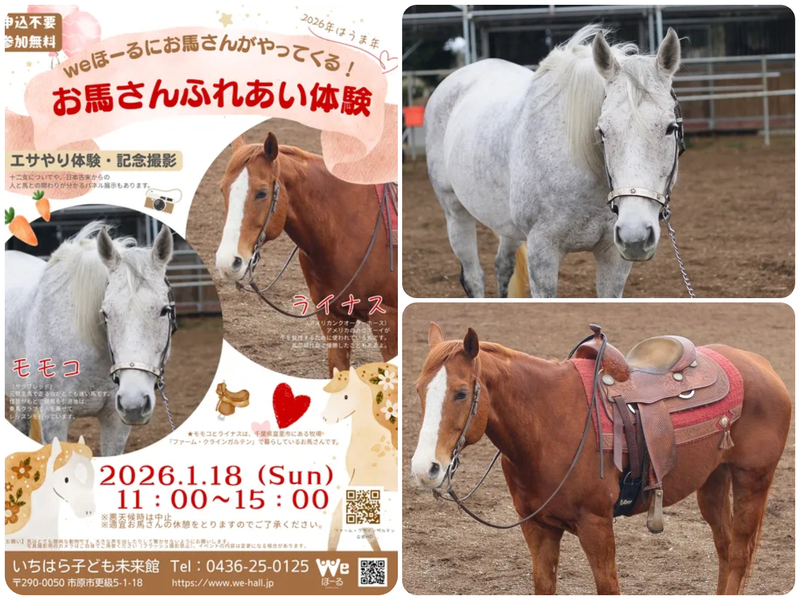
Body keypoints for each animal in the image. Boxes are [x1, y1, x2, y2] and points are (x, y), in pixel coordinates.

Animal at [410, 323, 790, 594]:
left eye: (461, 393)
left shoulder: (596, 526)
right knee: (725, 548)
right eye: (418, 389)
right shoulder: (538, 528)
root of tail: (760, 364)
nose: (425, 468)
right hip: (713, 480)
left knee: (739, 553)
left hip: (753, 478)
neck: (547, 422)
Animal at [424, 25, 685, 298]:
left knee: (502, 266)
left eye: (671, 128)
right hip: (455, 212)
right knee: (474, 276)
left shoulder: (614, 256)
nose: (635, 235)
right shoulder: (542, 253)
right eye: (602, 131)